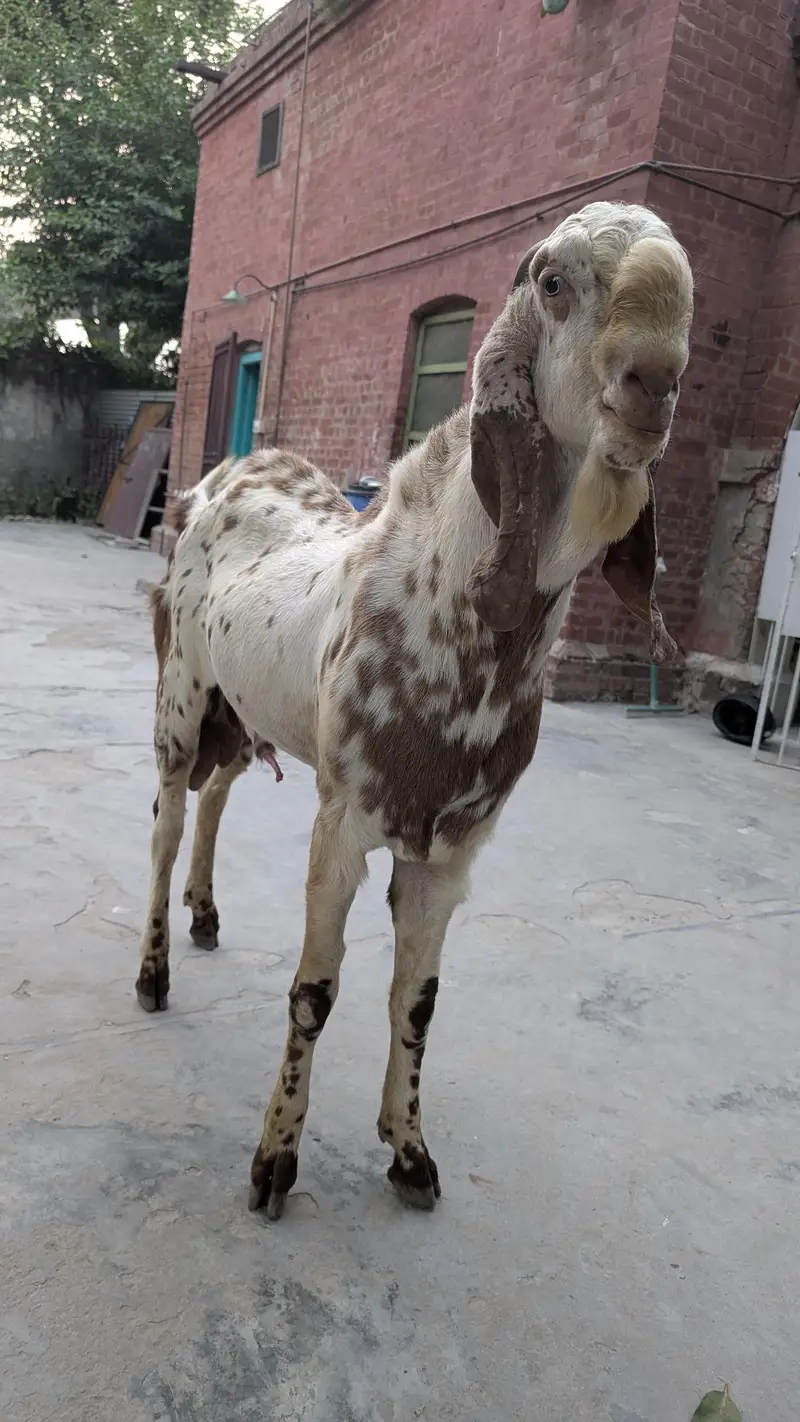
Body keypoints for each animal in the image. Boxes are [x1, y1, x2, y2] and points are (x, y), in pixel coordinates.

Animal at [137, 201, 693, 1219]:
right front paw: (274, 1162)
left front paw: (409, 1149)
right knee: (163, 824)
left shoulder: (454, 849)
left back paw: (204, 913)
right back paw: (154, 969)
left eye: (693, 304)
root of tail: (223, 476)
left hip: (244, 711)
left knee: (218, 796)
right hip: (181, 696)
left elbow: (421, 998)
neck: (445, 608)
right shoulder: (344, 824)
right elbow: (314, 993)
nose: (652, 384)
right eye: (555, 283)